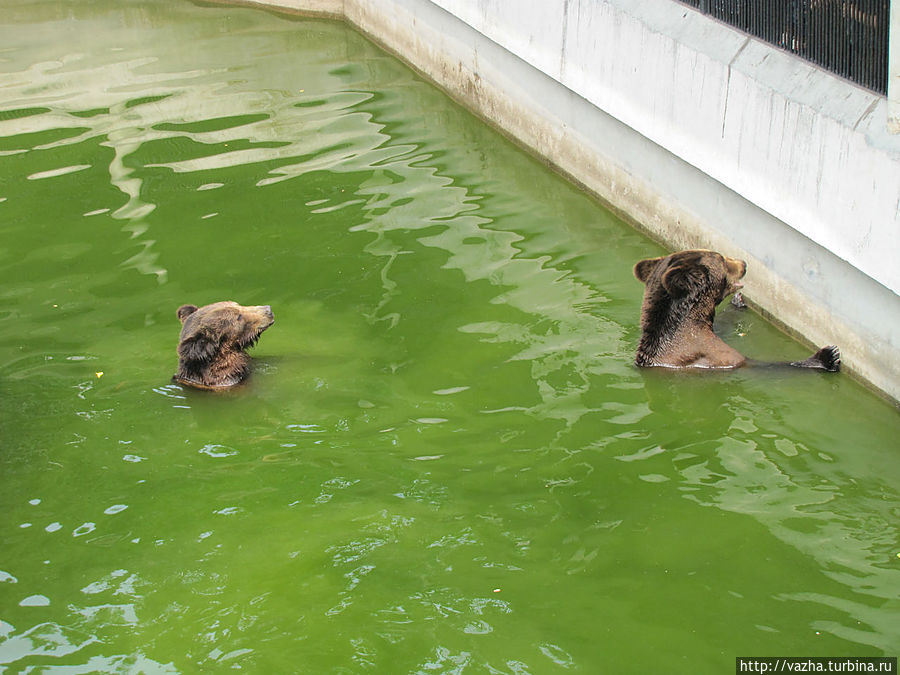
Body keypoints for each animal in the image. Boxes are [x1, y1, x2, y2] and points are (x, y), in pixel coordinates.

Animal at [632, 251, 836, 372]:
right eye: (722, 258)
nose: (744, 263)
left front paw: (737, 302)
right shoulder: (718, 357)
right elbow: (760, 365)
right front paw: (828, 356)